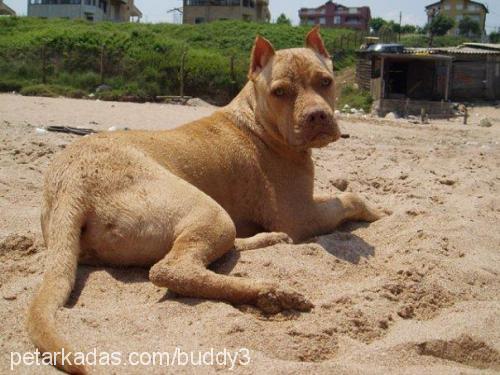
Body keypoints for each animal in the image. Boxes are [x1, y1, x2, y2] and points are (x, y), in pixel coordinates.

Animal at [27, 27, 380, 374]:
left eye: (326, 82)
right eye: (280, 92)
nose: (318, 116)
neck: (256, 118)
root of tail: (69, 182)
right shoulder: (301, 214)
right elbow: (350, 198)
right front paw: (376, 210)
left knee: (220, 249)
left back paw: (270, 243)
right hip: (208, 211)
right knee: (171, 269)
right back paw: (271, 291)